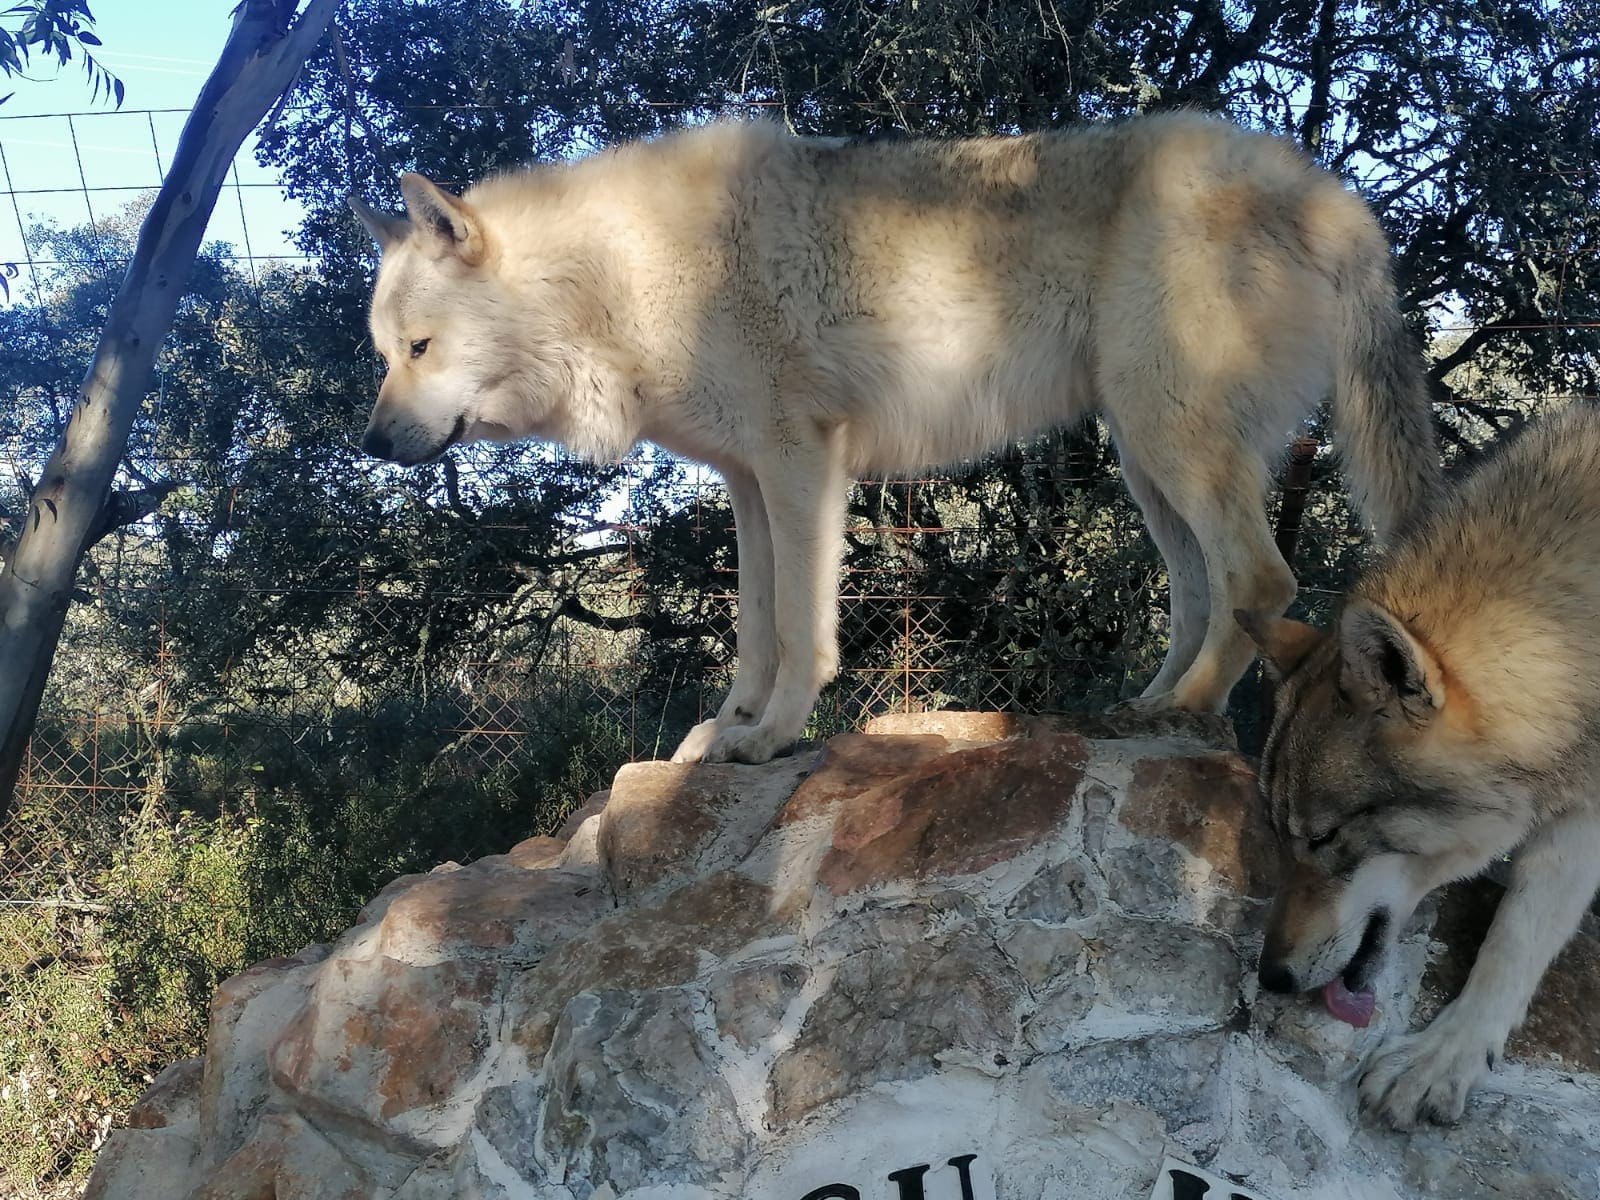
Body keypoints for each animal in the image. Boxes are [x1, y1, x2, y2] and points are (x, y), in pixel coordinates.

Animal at [350, 112, 1438, 765]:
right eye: (384, 353)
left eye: (420, 346)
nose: (370, 443)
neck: (622, 278)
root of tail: (1331, 193)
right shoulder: (747, 479)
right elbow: (753, 628)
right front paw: (725, 733)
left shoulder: (800, 462)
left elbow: (799, 628)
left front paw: (772, 737)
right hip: (1147, 459)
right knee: (1206, 593)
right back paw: (1145, 710)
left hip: (1170, 441)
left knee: (1262, 581)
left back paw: (1183, 710)